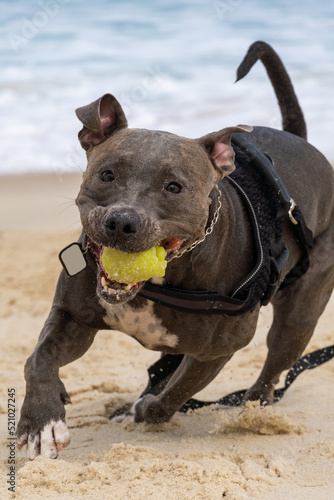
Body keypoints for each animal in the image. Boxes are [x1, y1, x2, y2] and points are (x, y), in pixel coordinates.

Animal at [16, 41, 334, 458]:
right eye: (106, 174)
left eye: (174, 187)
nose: (122, 222)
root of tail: (302, 143)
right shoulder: (72, 317)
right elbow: (38, 359)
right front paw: (42, 420)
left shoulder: (219, 349)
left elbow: (174, 396)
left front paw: (143, 409)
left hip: (300, 315)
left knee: (273, 366)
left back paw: (252, 410)